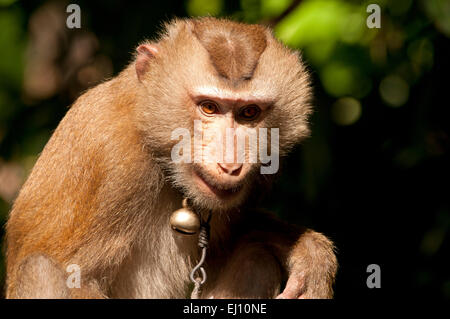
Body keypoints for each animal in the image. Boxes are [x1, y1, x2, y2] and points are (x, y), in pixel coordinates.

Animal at [4, 18, 338, 300]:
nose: (230, 165)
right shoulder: (113, 159)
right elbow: (77, 279)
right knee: (40, 270)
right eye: (209, 107)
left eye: (249, 112)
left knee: (257, 256)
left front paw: (308, 251)